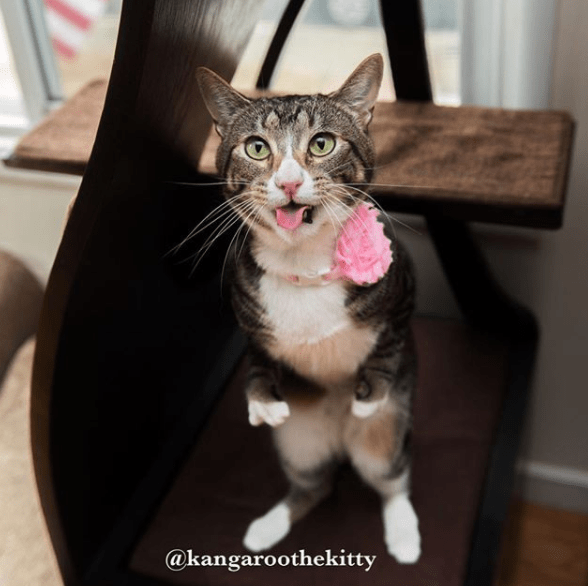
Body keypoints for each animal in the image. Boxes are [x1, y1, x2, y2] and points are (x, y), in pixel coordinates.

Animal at [196, 53, 420, 564]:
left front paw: (369, 395)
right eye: (256, 148)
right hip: (301, 442)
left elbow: (389, 345)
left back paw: (403, 532)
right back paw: (270, 525)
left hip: (384, 438)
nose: (289, 180)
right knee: (314, 484)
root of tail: (338, 442)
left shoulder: (402, 286)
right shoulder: (247, 315)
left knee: (389, 475)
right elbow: (259, 357)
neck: (302, 265)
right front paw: (262, 401)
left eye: (322, 143)